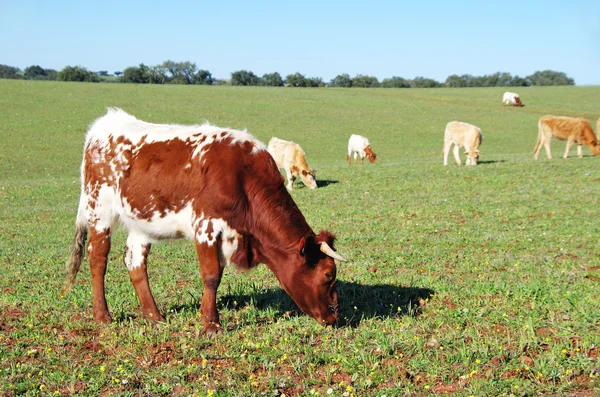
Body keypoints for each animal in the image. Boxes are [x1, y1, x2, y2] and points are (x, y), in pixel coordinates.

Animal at [62, 106, 346, 332]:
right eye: (328, 274)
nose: (335, 316)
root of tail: (105, 123)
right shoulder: (206, 226)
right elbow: (211, 275)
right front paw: (211, 323)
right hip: (99, 209)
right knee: (98, 258)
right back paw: (103, 316)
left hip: (141, 221)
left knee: (135, 261)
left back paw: (154, 315)